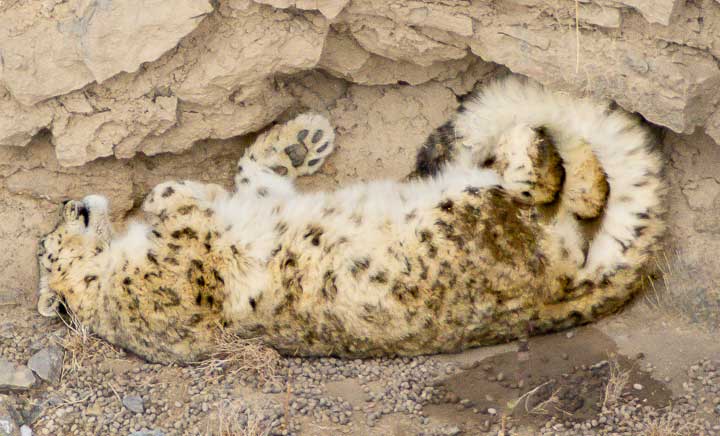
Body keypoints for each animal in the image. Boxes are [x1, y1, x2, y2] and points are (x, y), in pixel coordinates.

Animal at [36, 76, 665, 364]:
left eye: (45, 240)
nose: (69, 205)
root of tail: (559, 290)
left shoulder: (247, 198)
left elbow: (249, 174)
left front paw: (300, 140)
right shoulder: (182, 271)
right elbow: (180, 208)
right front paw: (167, 193)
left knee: (569, 189)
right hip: (478, 209)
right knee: (541, 179)